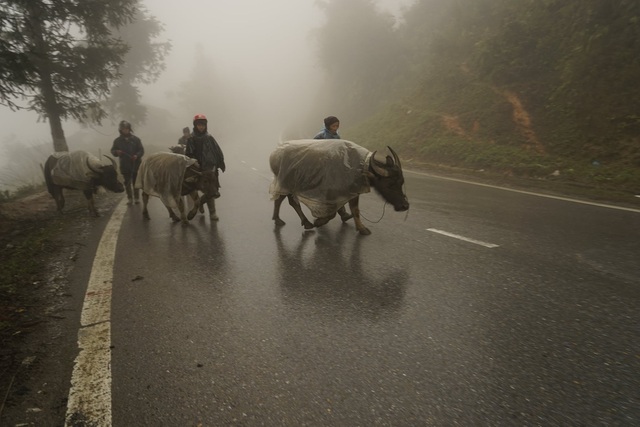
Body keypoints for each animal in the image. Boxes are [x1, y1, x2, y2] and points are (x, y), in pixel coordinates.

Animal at [270, 140, 410, 236]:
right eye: (389, 184)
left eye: (401, 182)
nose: (405, 206)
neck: (359, 167)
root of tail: (275, 153)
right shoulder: (331, 193)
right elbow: (332, 213)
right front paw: (319, 221)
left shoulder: (353, 192)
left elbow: (355, 210)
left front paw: (362, 228)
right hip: (286, 183)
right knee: (287, 201)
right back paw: (302, 222)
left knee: (281, 199)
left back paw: (282, 219)